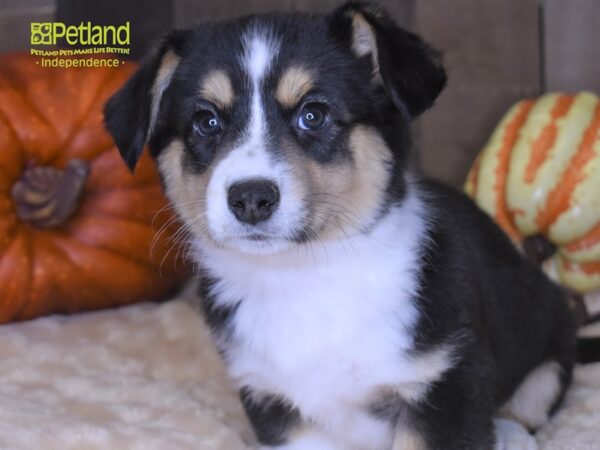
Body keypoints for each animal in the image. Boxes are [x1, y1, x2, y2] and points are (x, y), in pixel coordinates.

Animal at [104, 2, 576, 446]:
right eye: (206, 122)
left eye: (313, 115)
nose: (251, 198)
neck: (304, 275)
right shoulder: (276, 405)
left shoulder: (445, 386)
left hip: (547, 346)